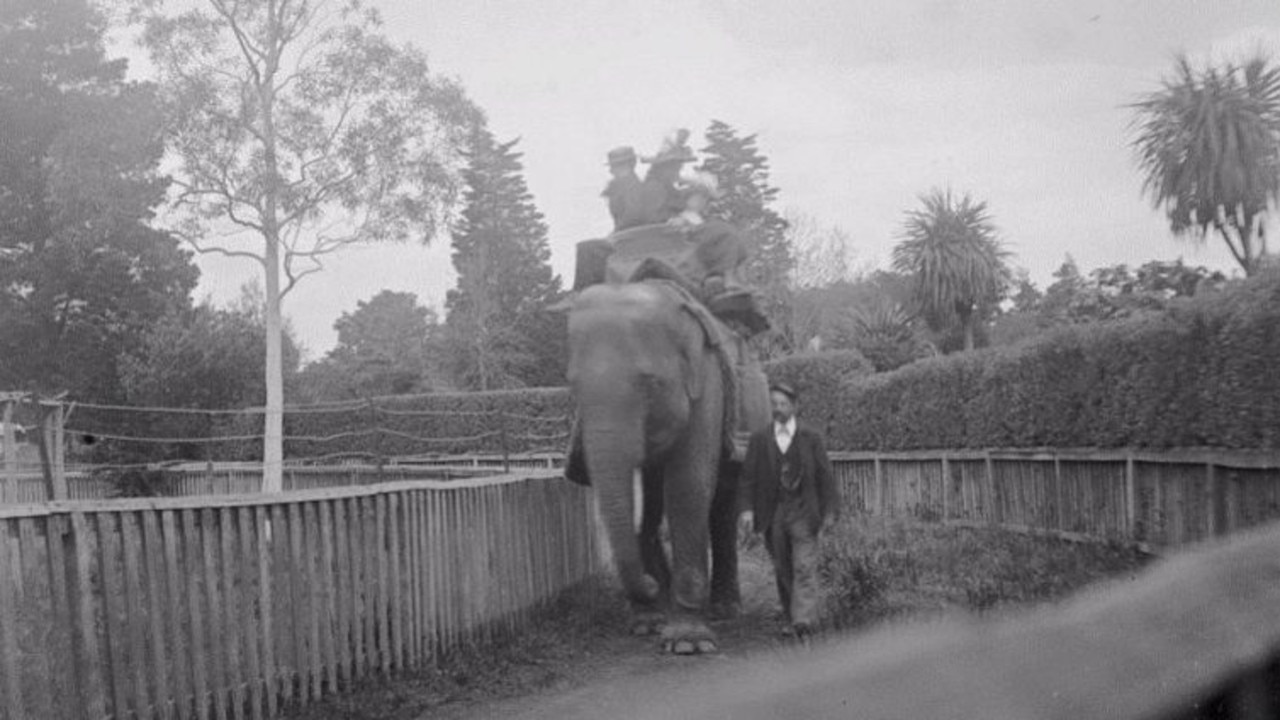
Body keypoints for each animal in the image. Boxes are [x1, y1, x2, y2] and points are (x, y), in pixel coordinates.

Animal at [565, 272, 762, 650]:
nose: (652, 585)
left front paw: (687, 643)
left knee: (723, 506)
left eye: (650, 383)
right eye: (573, 388)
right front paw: (648, 625)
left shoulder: (708, 388)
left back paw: (725, 610)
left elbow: (687, 486)